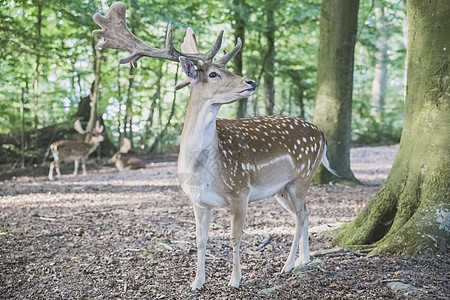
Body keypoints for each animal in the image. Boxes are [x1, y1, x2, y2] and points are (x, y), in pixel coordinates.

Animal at [93, 1, 336, 290]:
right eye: (213, 73)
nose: (250, 82)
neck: (204, 170)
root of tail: (321, 134)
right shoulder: (198, 201)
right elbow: (201, 240)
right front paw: (197, 282)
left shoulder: (240, 191)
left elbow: (235, 237)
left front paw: (235, 280)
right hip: (282, 188)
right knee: (306, 213)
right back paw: (303, 260)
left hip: (302, 176)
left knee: (300, 216)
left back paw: (288, 265)